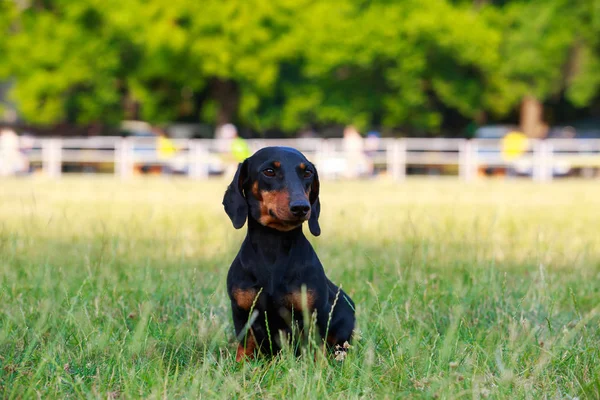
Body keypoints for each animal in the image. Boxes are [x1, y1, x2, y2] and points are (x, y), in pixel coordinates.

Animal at [224, 146, 356, 360]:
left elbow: (316, 349)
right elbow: (245, 347)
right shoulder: (243, 312)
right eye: (269, 171)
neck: (273, 249)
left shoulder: (312, 314)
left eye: (307, 172)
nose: (301, 207)